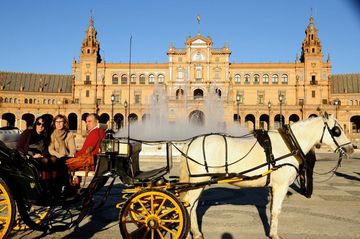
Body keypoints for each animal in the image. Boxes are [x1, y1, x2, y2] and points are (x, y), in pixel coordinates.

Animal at [179, 114, 352, 239]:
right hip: (199, 180)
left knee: (191, 205)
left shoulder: (273, 187)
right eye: (337, 130)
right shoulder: (281, 186)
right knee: (189, 204)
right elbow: (276, 210)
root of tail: (189, 143)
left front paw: (271, 232)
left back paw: (194, 232)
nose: (351, 148)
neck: (290, 143)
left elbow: (271, 210)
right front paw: (275, 235)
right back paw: (193, 233)